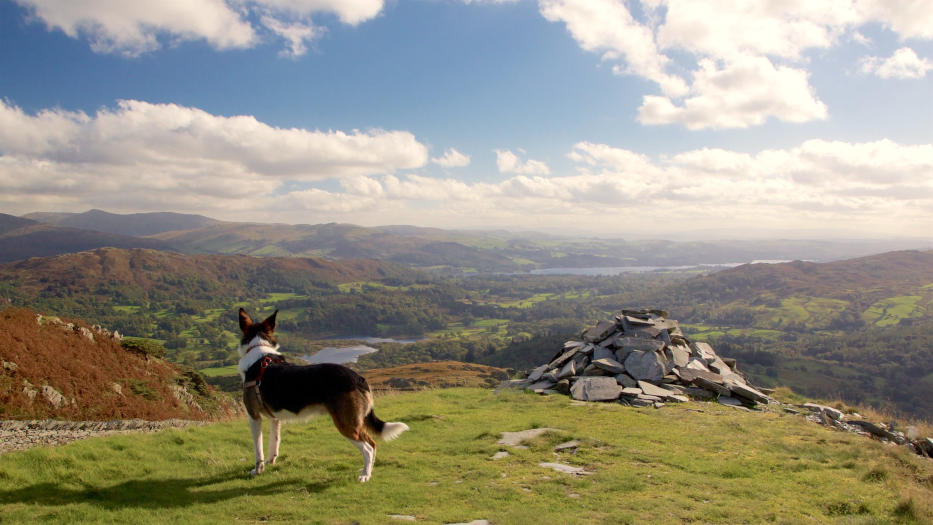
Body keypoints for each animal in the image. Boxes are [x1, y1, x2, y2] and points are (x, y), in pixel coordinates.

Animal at [237, 308, 408, 484]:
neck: (259, 353)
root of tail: (358, 378)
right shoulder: (275, 418)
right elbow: (274, 443)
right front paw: (271, 461)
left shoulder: (254, 416)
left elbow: (258, 449)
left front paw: (257, 470)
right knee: (372, 445)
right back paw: (367, 470)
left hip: (346, 423)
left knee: (368, 447)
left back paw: (365, 475)